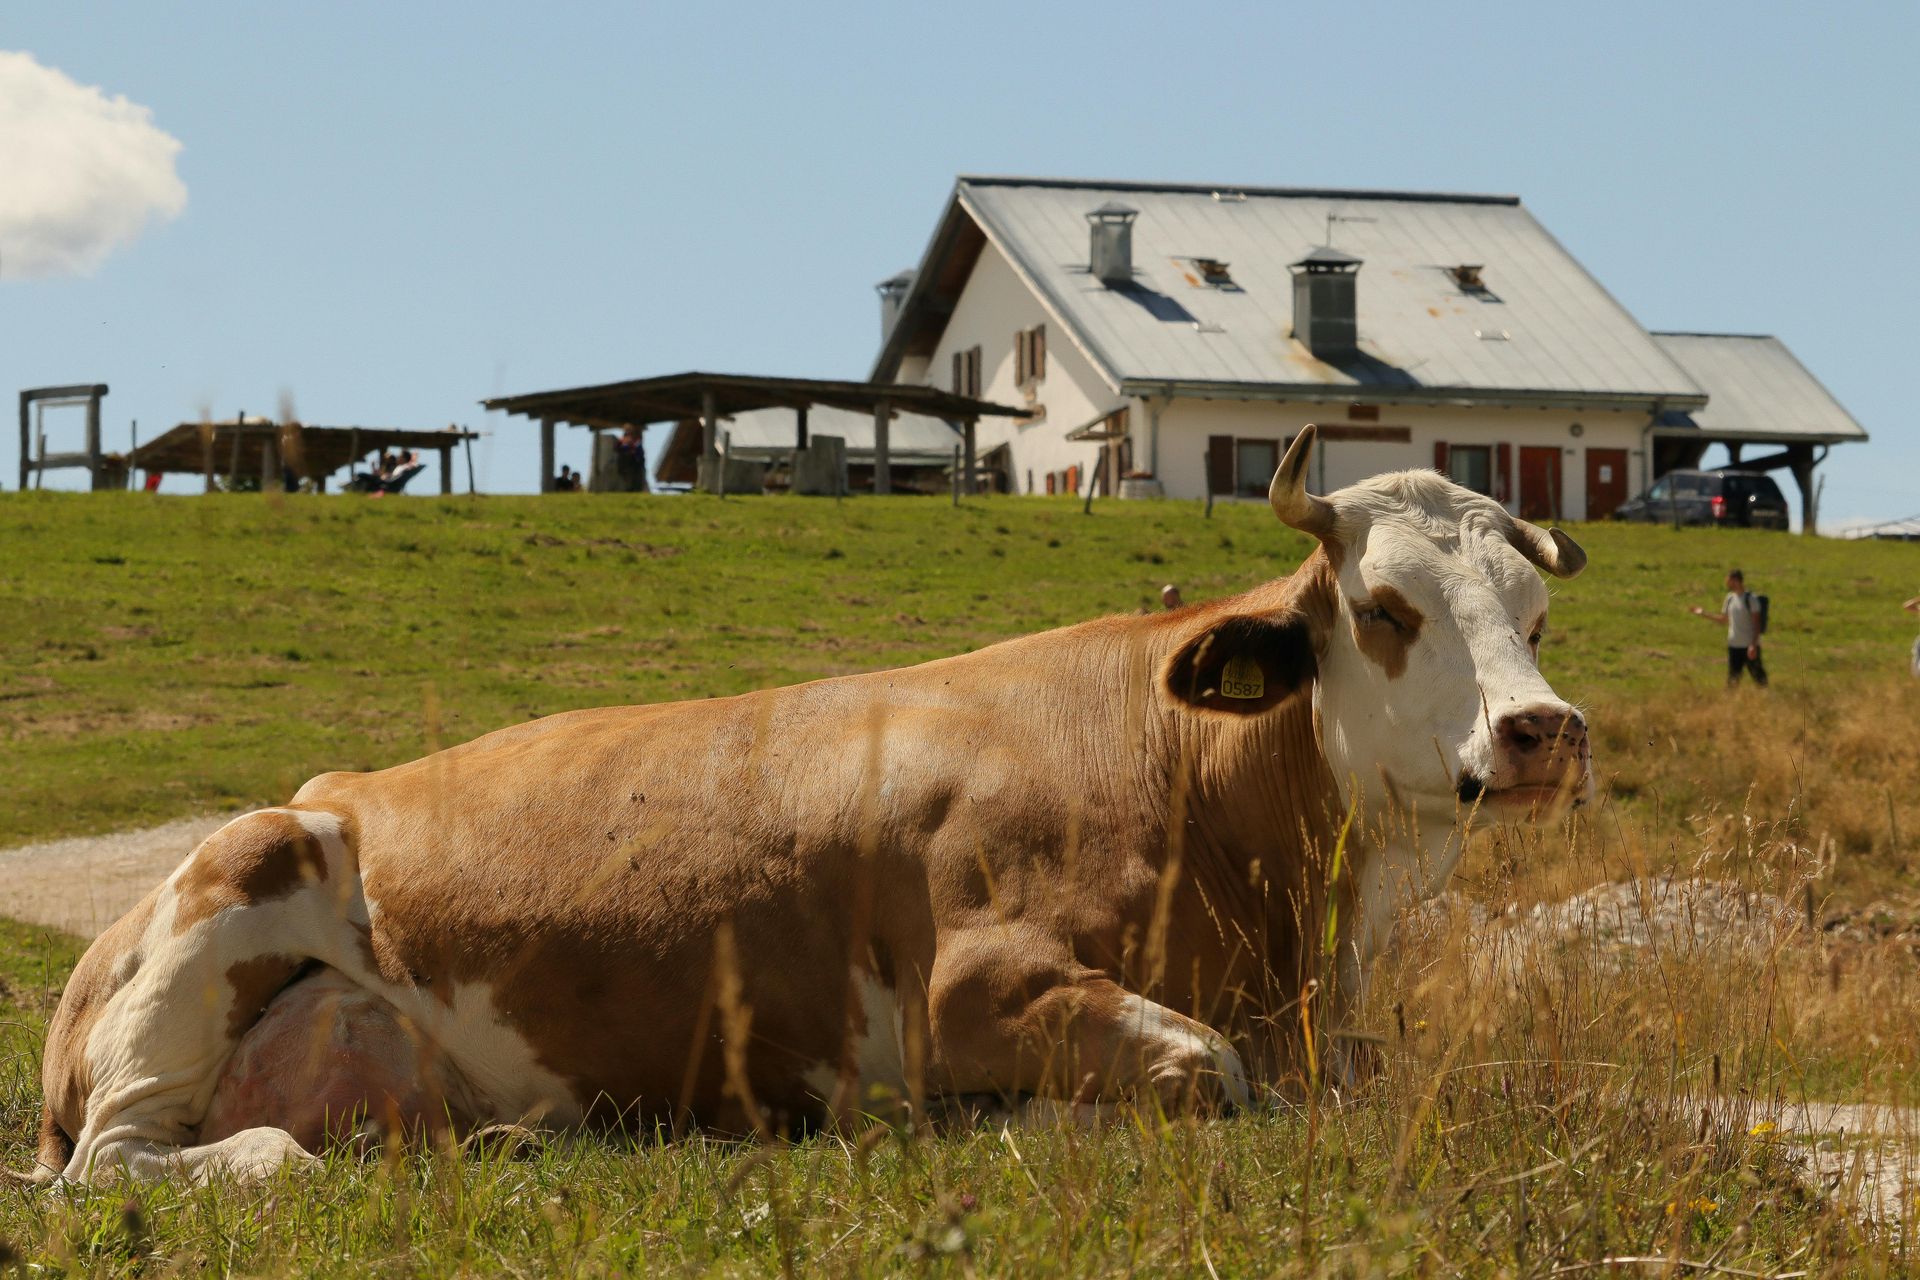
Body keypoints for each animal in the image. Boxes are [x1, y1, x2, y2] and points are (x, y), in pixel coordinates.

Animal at [27, 426, 1590, 1185]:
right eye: (1386, 609)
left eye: (1532, 611)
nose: (1541, 730)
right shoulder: (977, 989)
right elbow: (1209, 1072)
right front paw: (1001, 1123)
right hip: (240, 880)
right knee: (145, 1163)